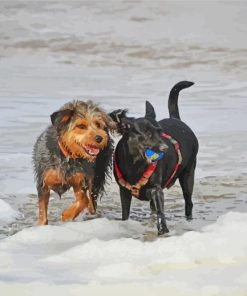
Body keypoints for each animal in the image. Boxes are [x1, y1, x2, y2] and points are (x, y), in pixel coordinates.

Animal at [110, 81, 199, 236]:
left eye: (160, 131)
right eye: (147, 133)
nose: (165, 148)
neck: (135, 165)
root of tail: (176, 119)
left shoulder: (156, 189)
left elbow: (160, 211)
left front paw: (163, 230)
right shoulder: (124, 191)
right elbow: (125, 213)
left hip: (188, 175)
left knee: (188, 202)